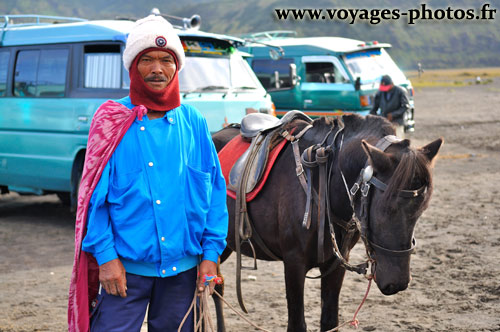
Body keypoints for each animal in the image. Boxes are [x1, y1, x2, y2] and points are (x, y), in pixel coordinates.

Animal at [211, 113, 442, 332]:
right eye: (387, 208)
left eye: (421, 210)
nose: (398, 283)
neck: (324, 184)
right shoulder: (293, 263)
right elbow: (297, 325)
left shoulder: (337, 264)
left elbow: (330, 321)